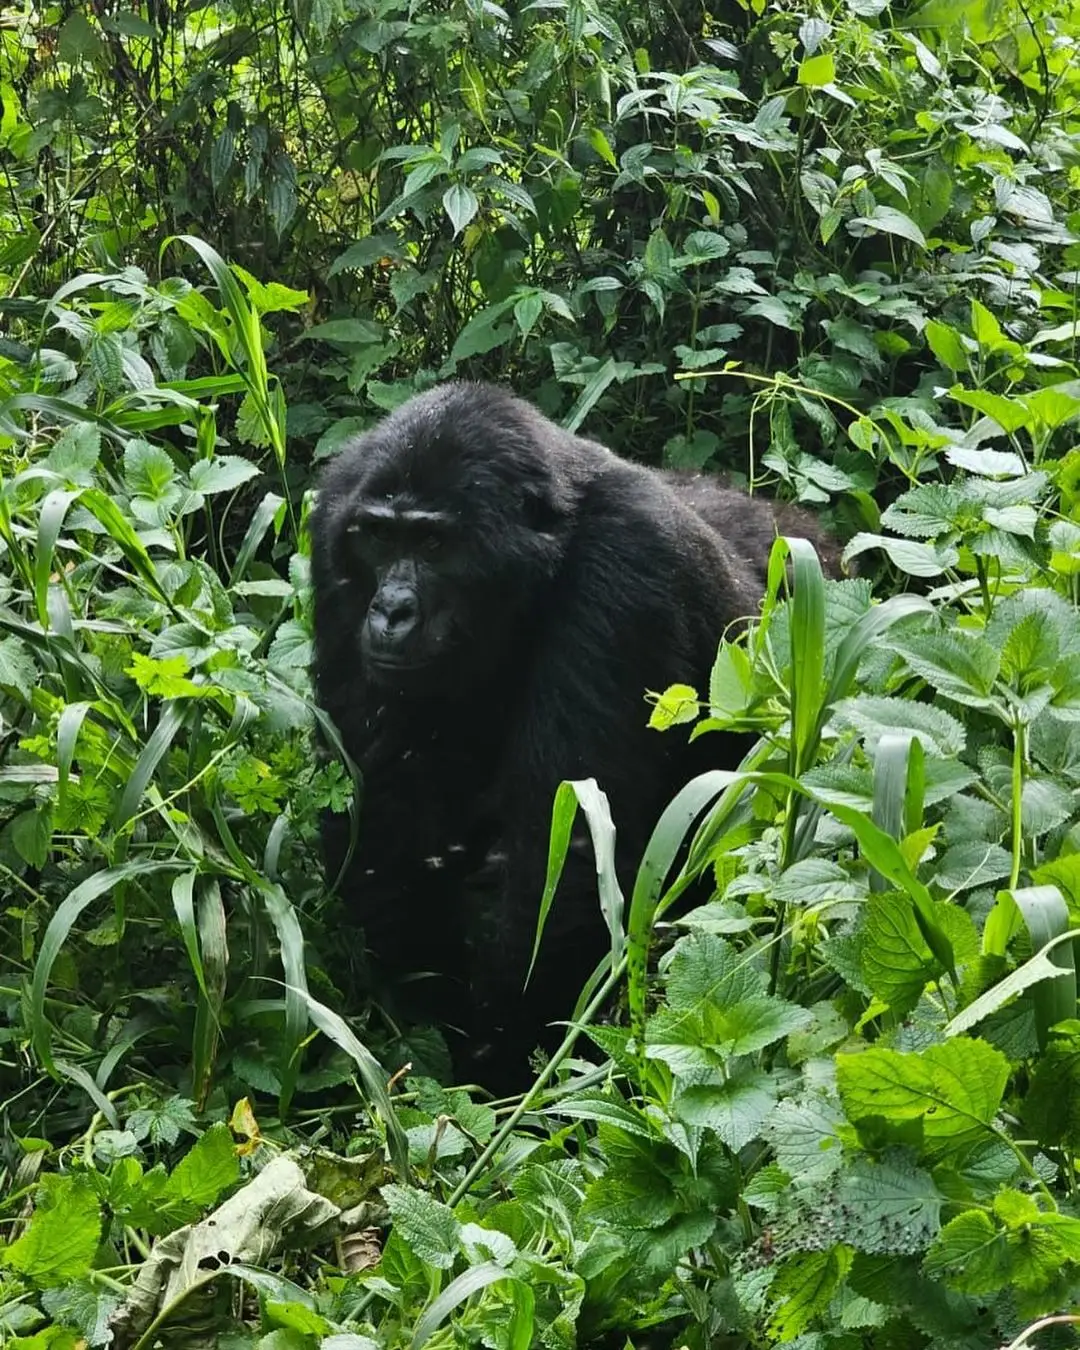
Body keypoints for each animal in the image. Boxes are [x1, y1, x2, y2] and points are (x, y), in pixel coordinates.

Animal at [310, 378, 837, 1085]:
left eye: (434, 547)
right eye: (377, 539)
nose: (391, 611)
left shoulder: (629, 565)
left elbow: (563, 865)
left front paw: (506, 1063)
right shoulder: (333, 529)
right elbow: (382, 809)